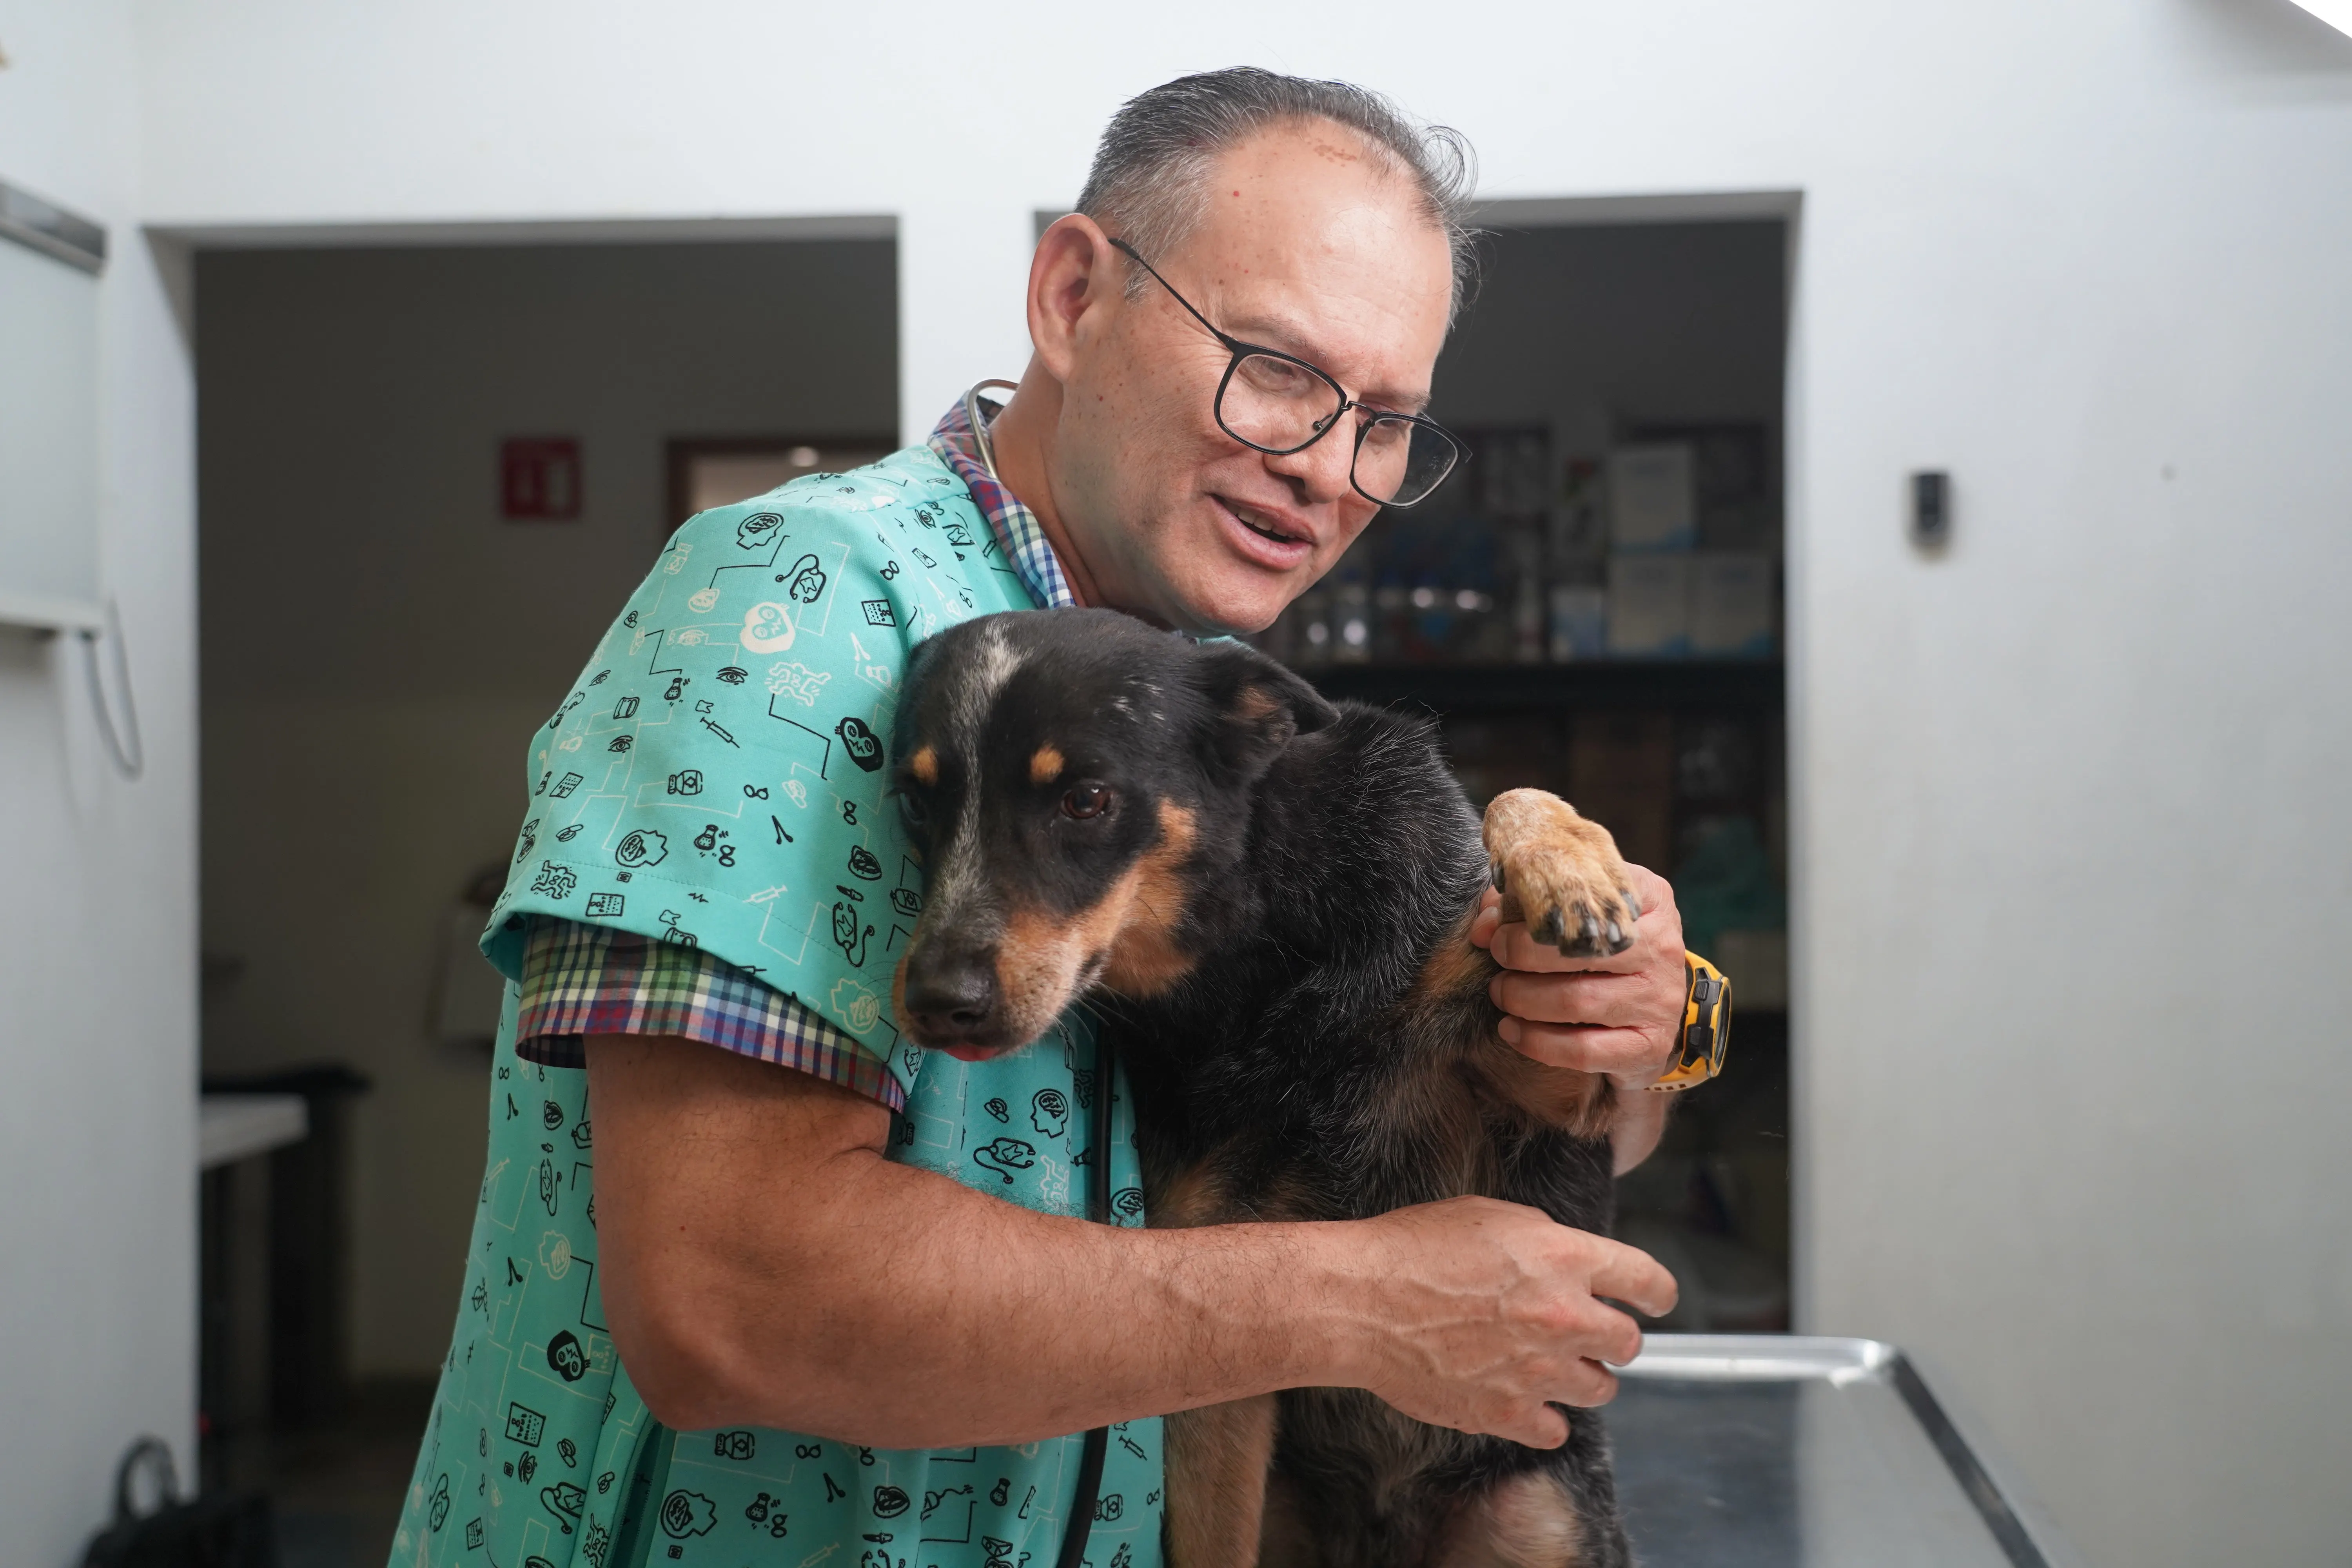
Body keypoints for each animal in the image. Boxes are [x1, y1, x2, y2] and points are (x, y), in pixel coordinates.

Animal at [889, 611, 1646, 1568]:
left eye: (1086, 800)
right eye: (915, 802)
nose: (935, 1000)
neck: (1258, 954)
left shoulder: (1551, 1083)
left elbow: (1517, 796)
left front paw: (1571, 873)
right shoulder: (1219, 1351)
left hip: (1542, 1515)